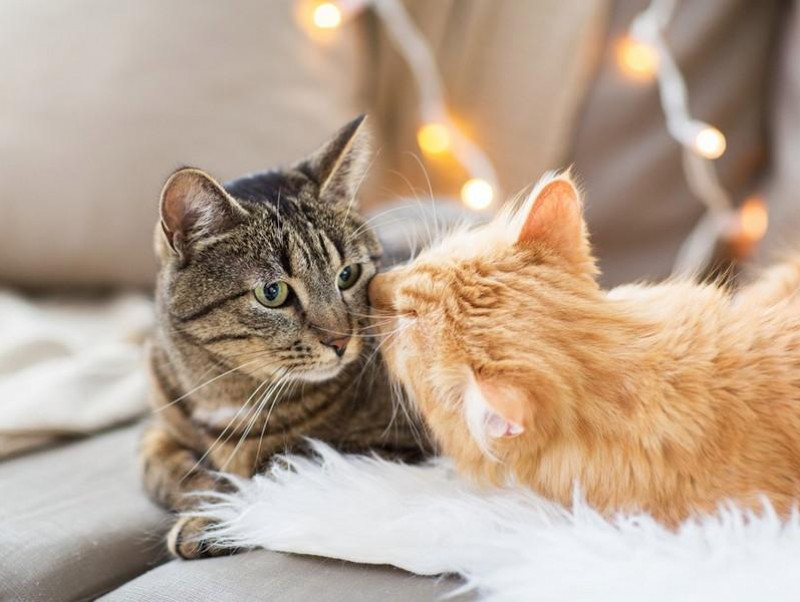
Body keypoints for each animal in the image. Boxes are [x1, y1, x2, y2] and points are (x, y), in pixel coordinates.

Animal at [142, 117, 432, 556]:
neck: (222, 392)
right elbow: (158, 467)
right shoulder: (158, 426)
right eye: (272, 293)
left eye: (347, 274)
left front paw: (217, 520)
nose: (341, 341)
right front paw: (209, 496)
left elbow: (287, 471)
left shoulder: (396, 446)